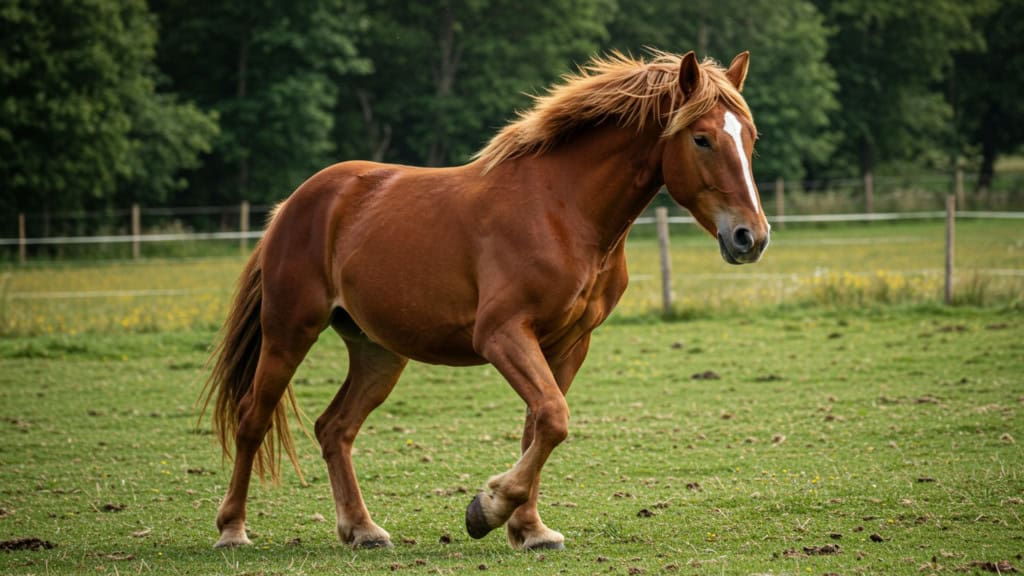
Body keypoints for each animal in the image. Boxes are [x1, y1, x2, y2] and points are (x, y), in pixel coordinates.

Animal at [202, 49, 770, 552]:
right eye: (701, 138)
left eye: (749, 138)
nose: (752, 237)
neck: (563, 210)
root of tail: (295, 203)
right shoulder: (502, 334)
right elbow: (553, 418)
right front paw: (488, 509)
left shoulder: (568, 344)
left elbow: (539, 425)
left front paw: (530, 529)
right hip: (289, 332)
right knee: (253, 419)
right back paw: (233, 530)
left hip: (377, 351)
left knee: (335, 428)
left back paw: (363, 530)